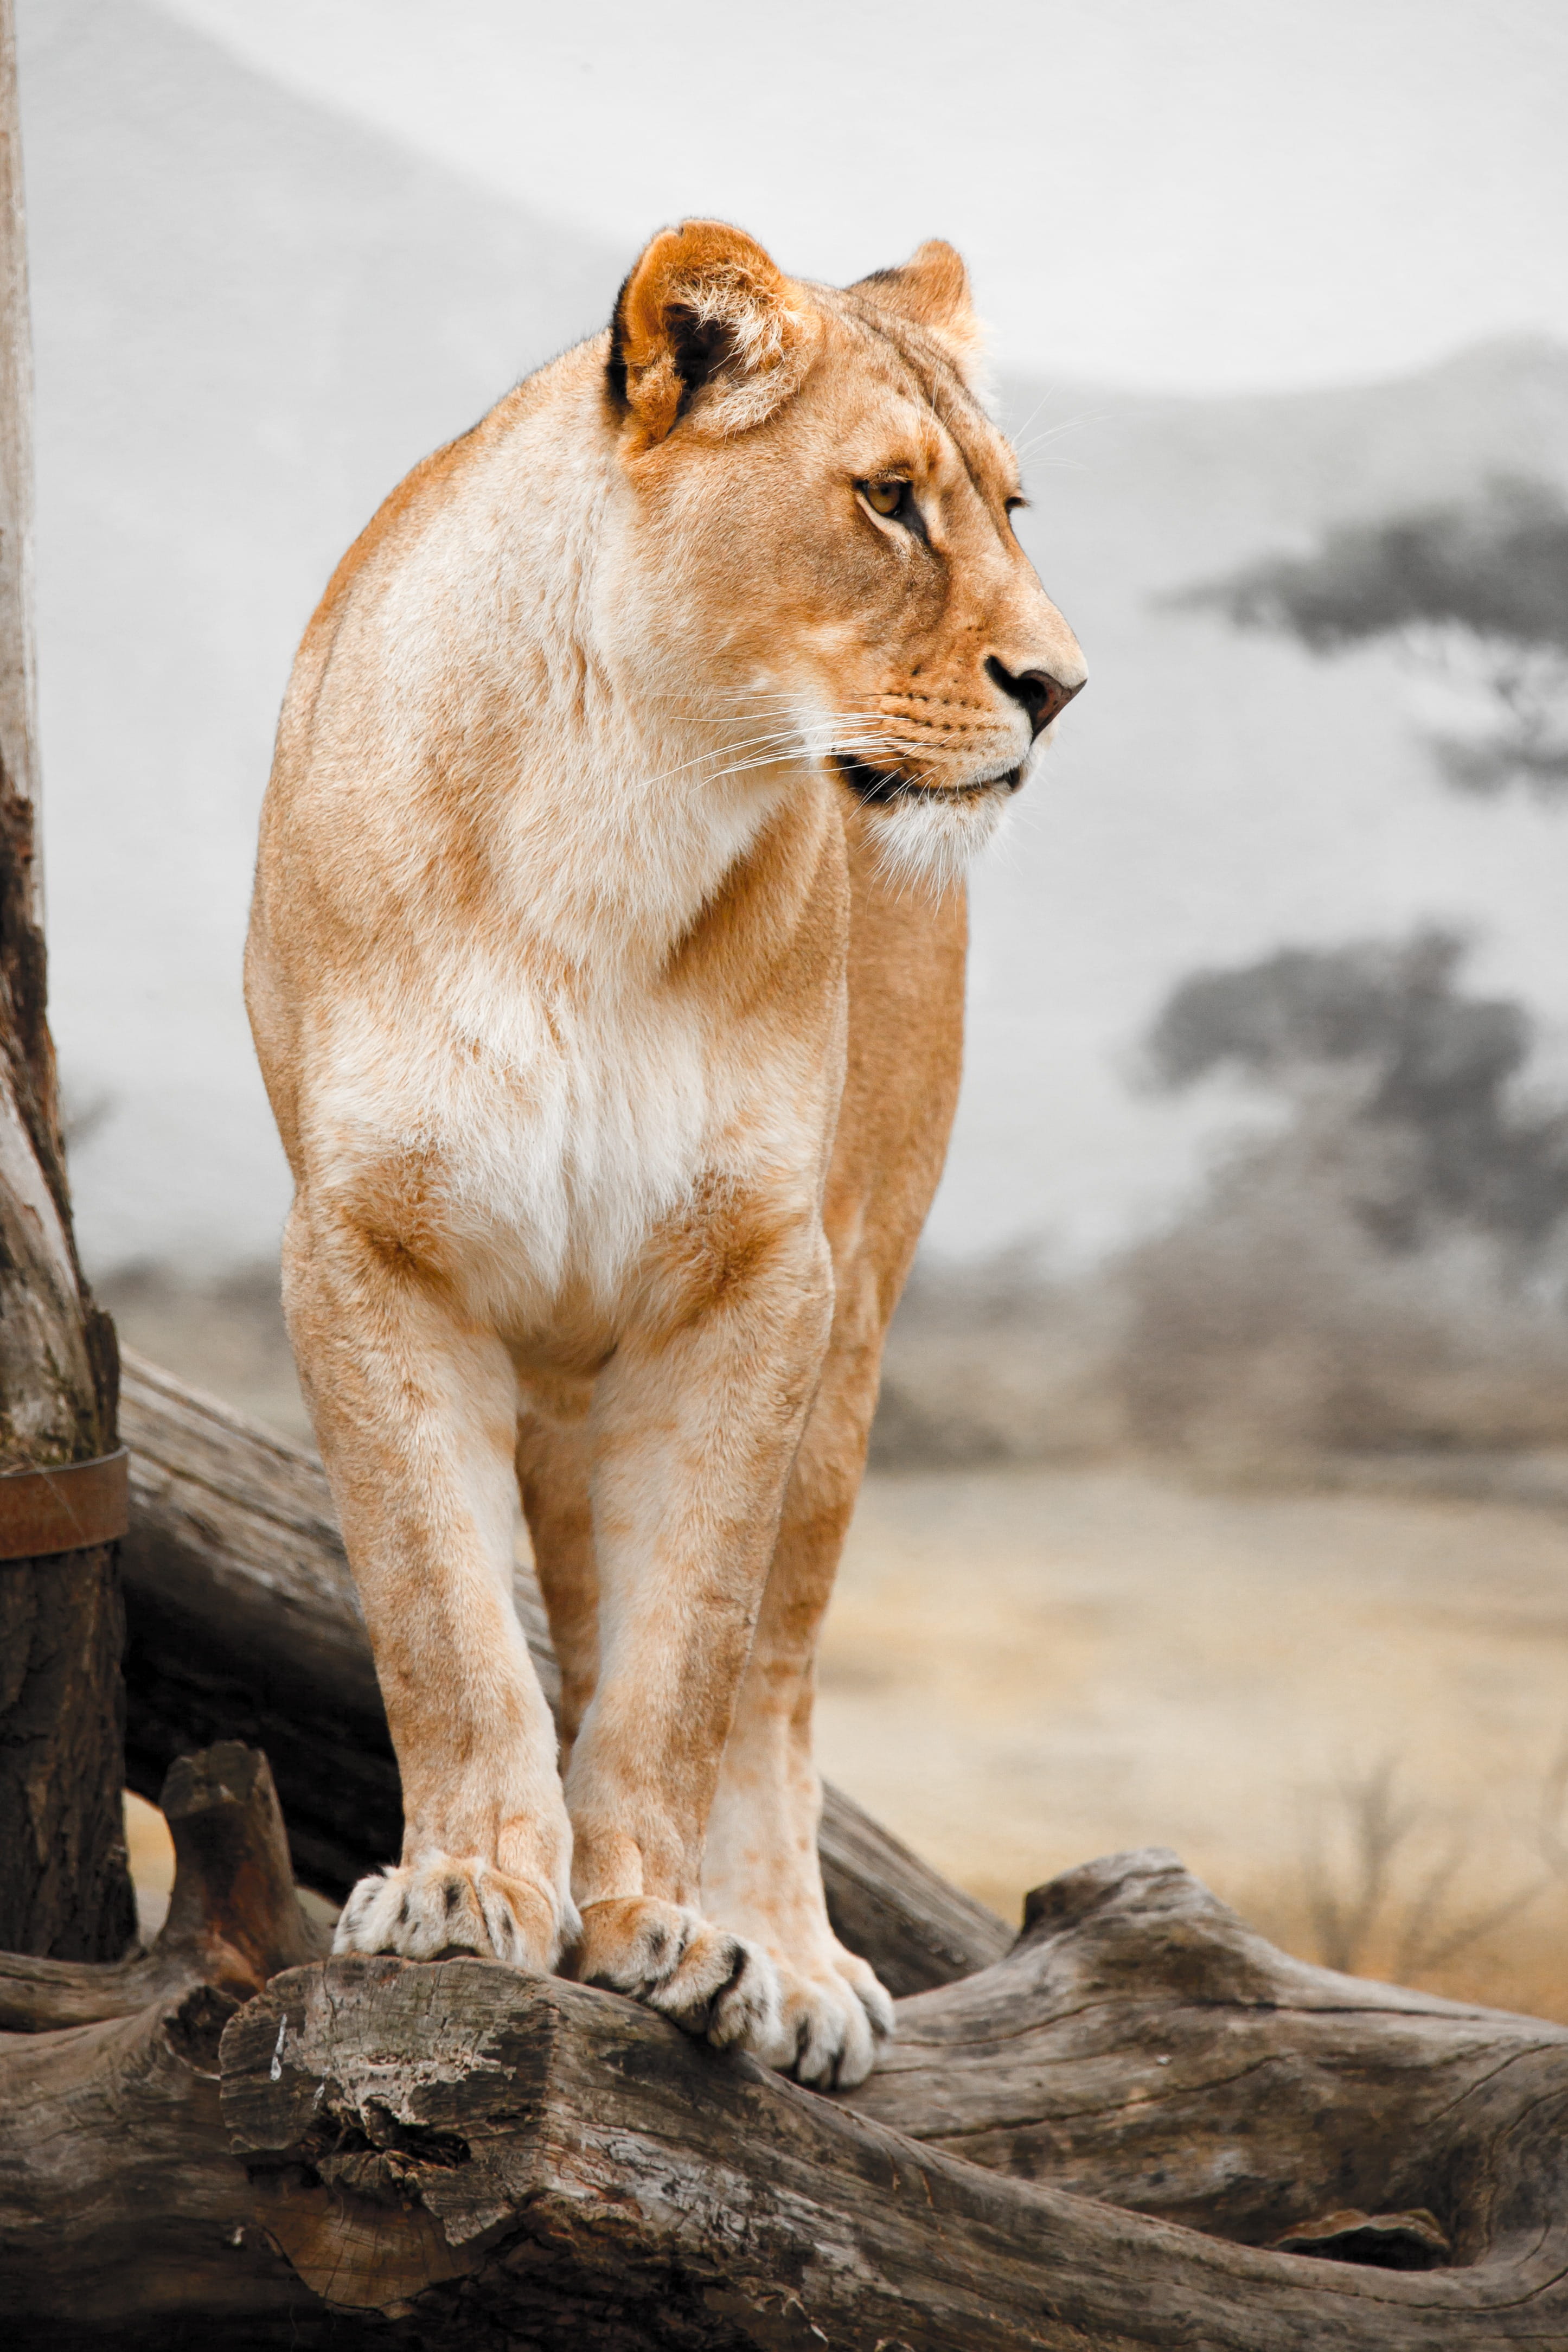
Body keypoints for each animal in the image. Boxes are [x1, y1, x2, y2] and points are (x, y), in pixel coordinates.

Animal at [245, 221, 1084, 2089]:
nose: (1059, 689)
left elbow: (688, 1655)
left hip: (855, 1319)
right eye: (889, 501)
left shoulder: (761, 1274)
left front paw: (669, 1932)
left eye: (1006, 505)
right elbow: (446, 1621)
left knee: (780, 1664)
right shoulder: (365, 1249)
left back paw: (800, 1962)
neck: (620, 805)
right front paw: (468, 1888)